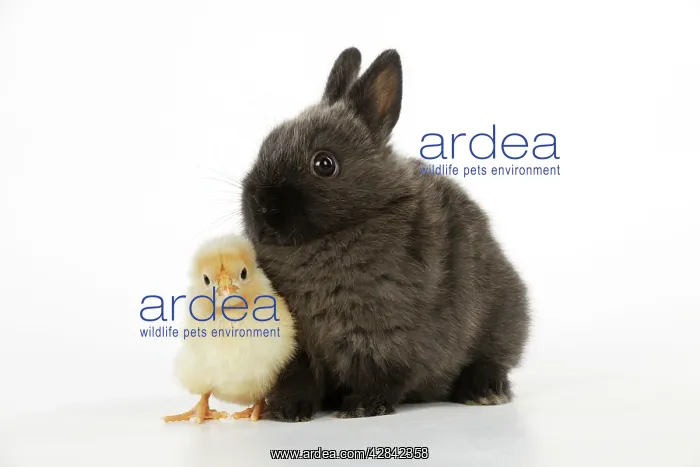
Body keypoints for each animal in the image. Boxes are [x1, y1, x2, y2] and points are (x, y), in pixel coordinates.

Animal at [240, 47, 530, 421]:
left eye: (324, 164)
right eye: (267, 144)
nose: (261, 203)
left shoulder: (385, 329)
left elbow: (382, 371)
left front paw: (362, 406)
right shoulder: (294, 339)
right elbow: (297, 375)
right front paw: (287, 409)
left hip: (503, 320)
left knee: (491, 360)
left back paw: (484, 391)